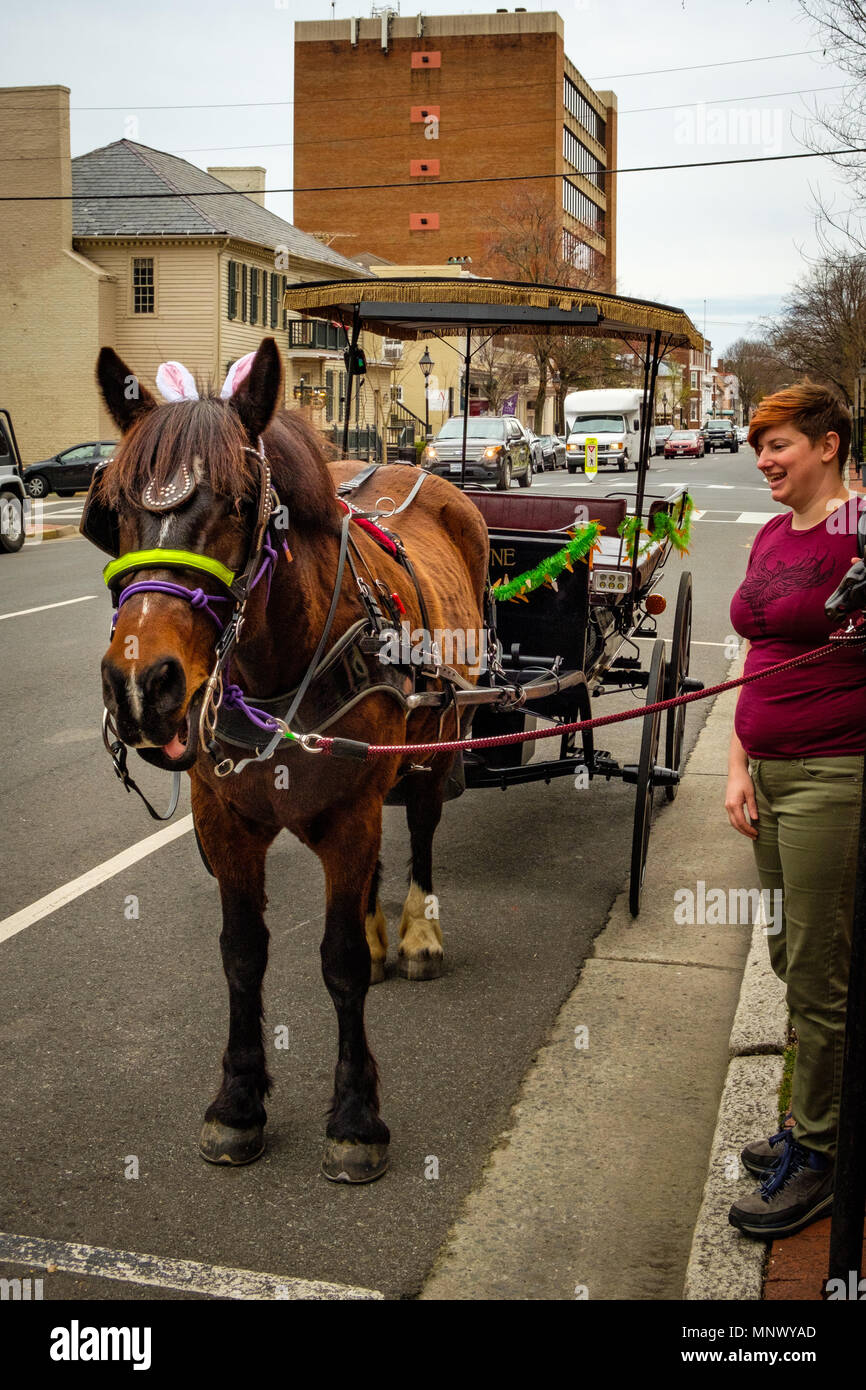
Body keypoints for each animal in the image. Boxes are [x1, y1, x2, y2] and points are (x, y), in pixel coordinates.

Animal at [88, 336, 494, 1184]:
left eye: (242, 506)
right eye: (113, 512)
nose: (142, 684)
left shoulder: (350, 813)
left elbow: (336, 963)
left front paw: (357, 1116)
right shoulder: (225, 821)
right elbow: (243, 955)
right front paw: (237, 1102)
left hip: (435, 737)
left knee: (425, 830)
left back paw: (415, 934)